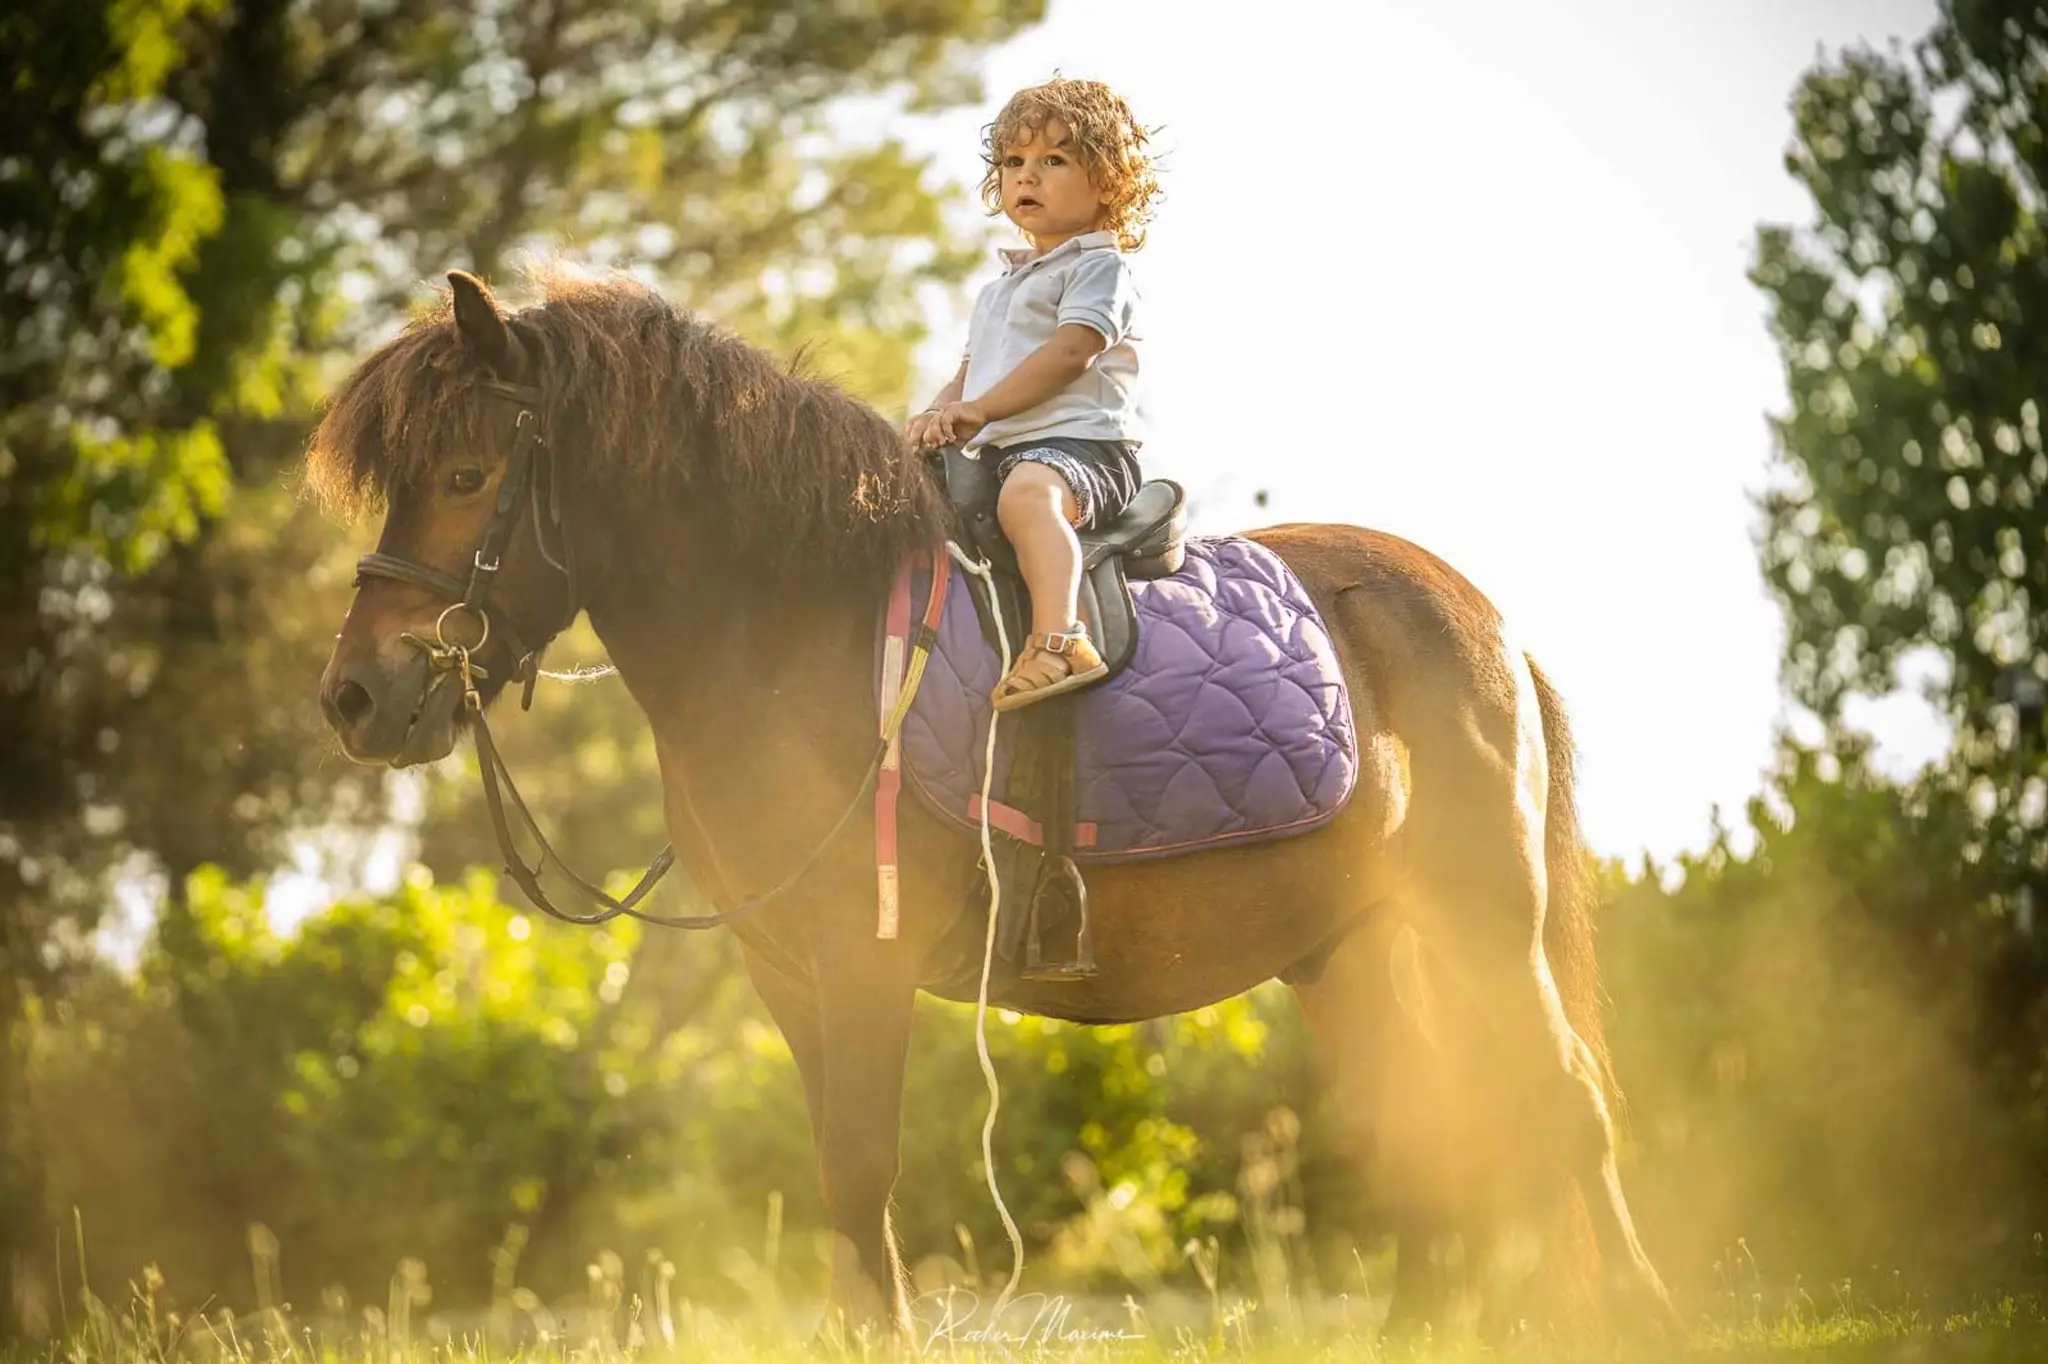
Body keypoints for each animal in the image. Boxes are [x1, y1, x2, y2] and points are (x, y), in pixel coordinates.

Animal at [309, 265, 1676, 1339]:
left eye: (466, 470)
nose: (357, 697)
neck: (788, 626)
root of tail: (1481, 621)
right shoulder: (784, 973)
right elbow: (837, 1183)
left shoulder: (859, 962)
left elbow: (860, 1170)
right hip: (1346, 950)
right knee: (1432, 1131)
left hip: (1483, 922)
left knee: (1569, 1105)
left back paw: (1640, 1311)